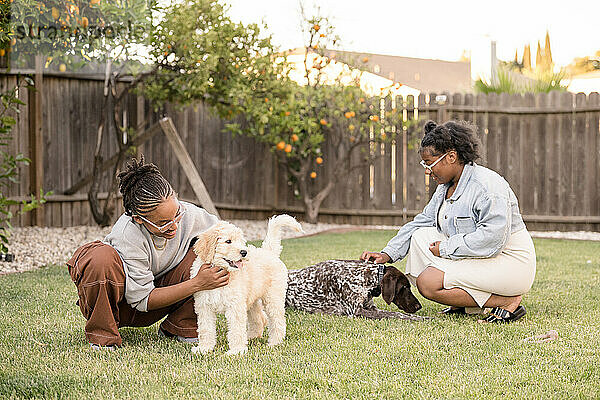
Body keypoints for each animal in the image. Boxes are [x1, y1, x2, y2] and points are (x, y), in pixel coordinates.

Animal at [191, 214, 302, 354]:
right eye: (228, 241)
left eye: (241, 241)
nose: (244, 252)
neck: (224, 271)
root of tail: (269, 252)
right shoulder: (204, 306)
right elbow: (205, 329)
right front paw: (204, 349)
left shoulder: (235, 306)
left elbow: (236, 330)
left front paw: (236, 351)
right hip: (252, 300)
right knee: (259, 319)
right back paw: (252, 337)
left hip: (273, 298)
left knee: (277, 320)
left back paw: (275, 343)